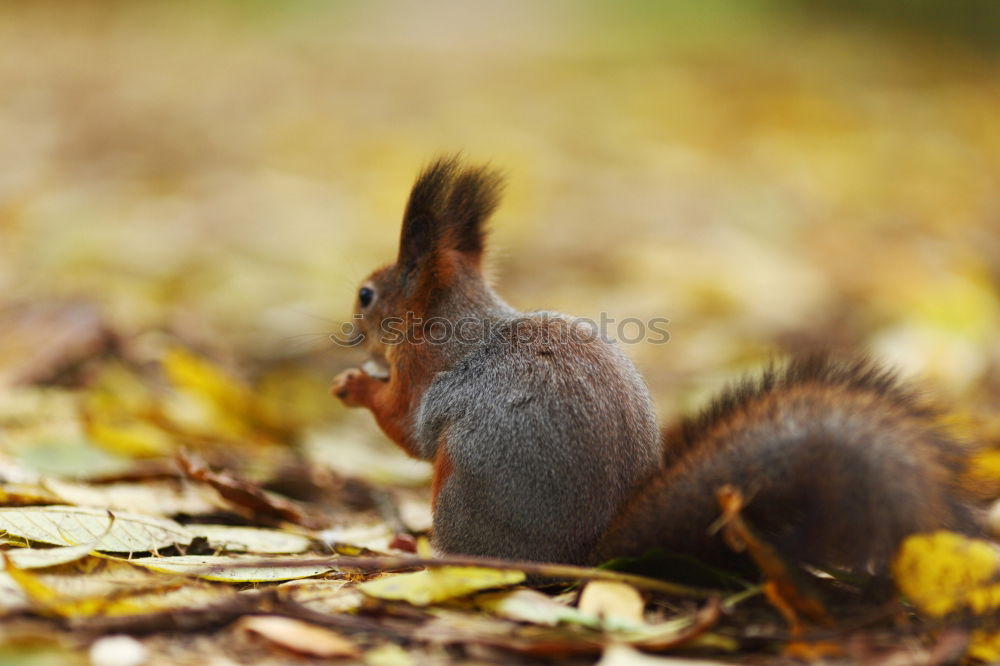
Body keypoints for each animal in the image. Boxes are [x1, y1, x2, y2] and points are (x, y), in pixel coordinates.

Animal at [332, 157, 980, 576]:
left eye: (366, 295)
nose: (351, 338)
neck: (451, 321)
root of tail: (585, 559)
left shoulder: (428, 378)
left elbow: (408, 429)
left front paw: (356, 385)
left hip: (462, 490)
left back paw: (419, 552)